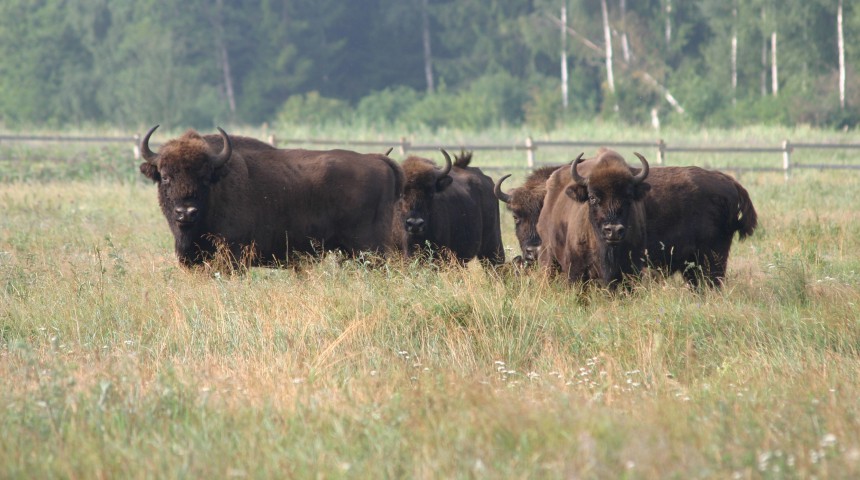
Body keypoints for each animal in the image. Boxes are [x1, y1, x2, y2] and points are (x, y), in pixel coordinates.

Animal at [139, 126, 405, 267]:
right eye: (165, 176)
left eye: (205, 177)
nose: (186, 212)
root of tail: (377, 159)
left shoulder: (233, 255)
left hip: (369, 248)